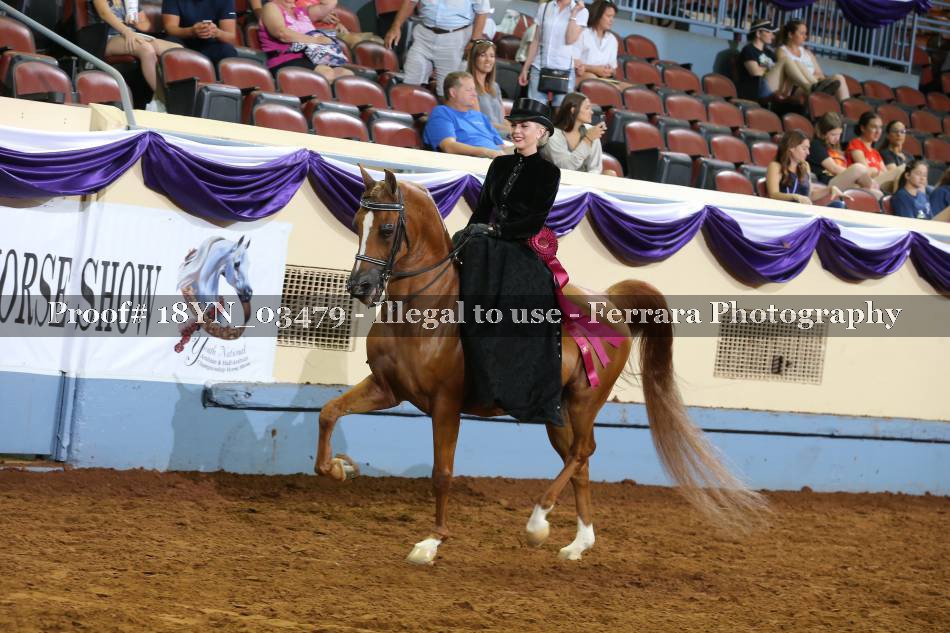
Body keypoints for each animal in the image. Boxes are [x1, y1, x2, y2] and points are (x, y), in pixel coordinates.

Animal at [315, 167, 766, 565]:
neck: (427, 310)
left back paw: (537, 523)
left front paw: (431, 542)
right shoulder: (387, 389)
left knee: (581, 452)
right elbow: (328, 413)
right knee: (580, 460)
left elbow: (442, 473)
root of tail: (610, 302)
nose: (360, 287)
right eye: (356, 222)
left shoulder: (446, 404)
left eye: (387, 229)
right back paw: (578, 544)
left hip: (584, 401)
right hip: (558, 411)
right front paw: (338, 468)